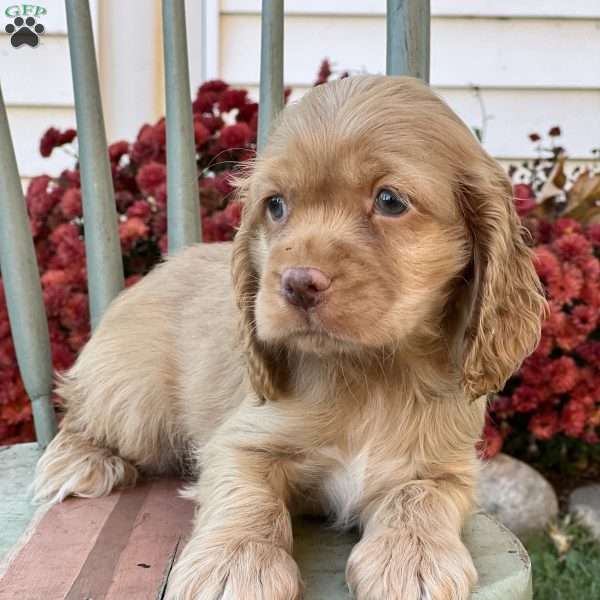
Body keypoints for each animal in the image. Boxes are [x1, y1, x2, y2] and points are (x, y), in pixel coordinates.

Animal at [35, 76, 548, 600]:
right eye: (276, 205)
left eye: (390, 201)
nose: (297, 283)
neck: (370, 374)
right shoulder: (241, 440)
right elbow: (247, 494)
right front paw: (235, 565)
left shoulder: (448, 466)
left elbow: (420, 493)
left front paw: (412, 559)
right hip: (135, 403)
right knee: (81, 414)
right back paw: (82, 460)